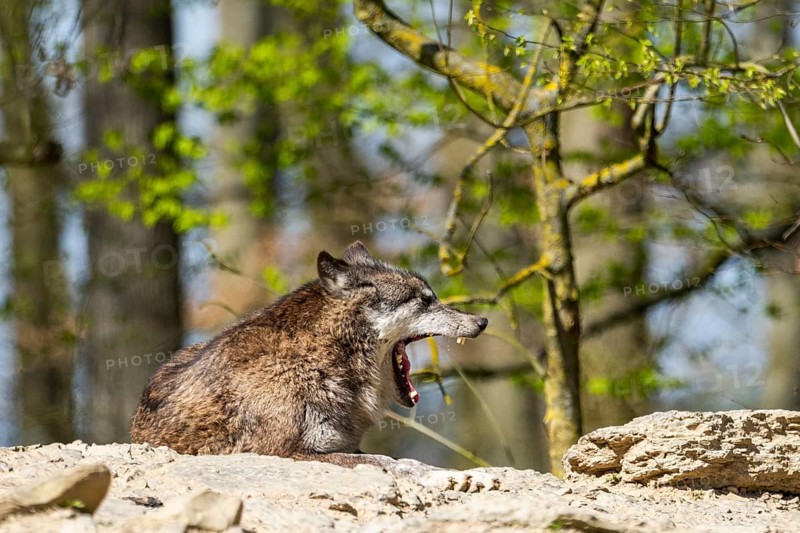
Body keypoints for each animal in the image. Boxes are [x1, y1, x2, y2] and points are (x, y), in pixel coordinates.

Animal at [131, 242, 492, 487]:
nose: (483, 321)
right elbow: (389, 462)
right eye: (426, 300)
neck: (316, 360)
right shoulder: (285, 452)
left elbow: (397, 459)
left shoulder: (342, 445)